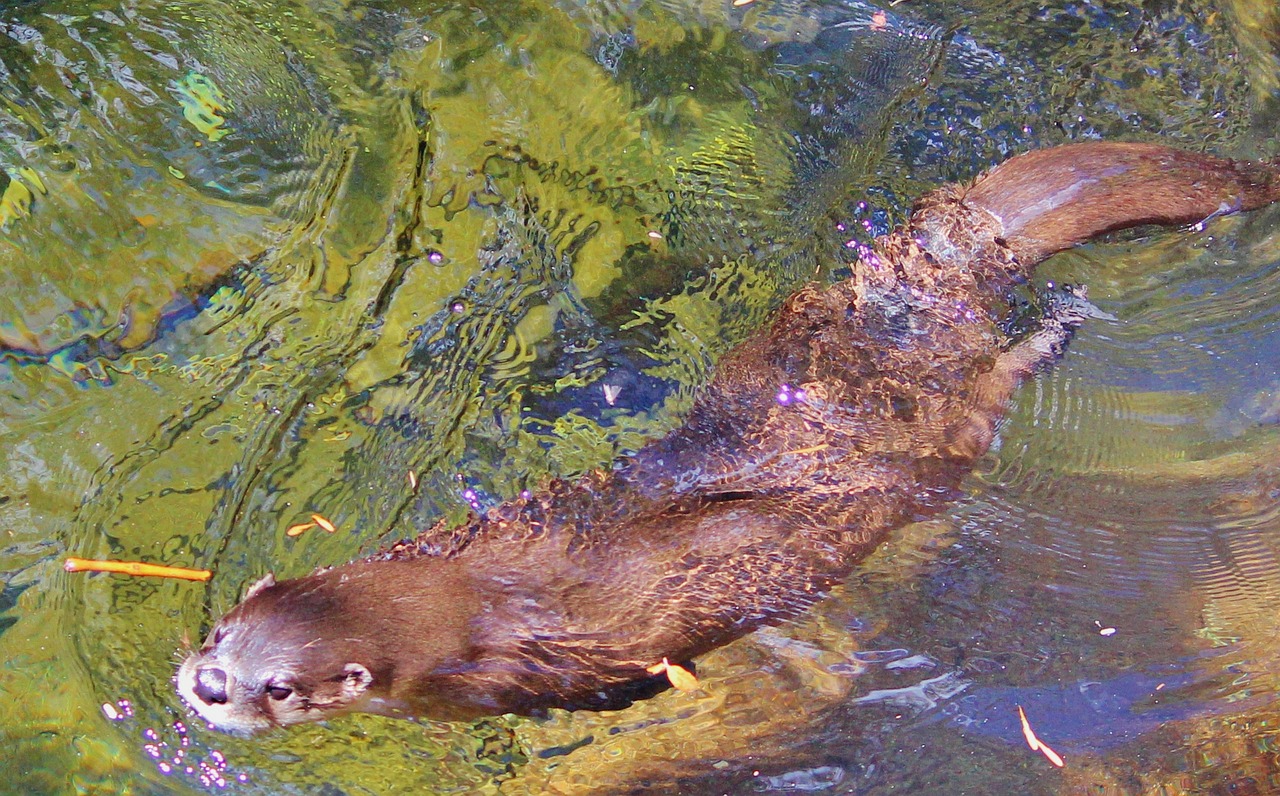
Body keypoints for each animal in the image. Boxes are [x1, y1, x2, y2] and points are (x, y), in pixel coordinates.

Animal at [175, 143, 1274, 737]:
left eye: (277, 686)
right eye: (222, 630)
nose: (201, 684)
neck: (452, 600)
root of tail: (911, 297)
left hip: (947, 440)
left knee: (993, 392)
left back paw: (1058, 330)